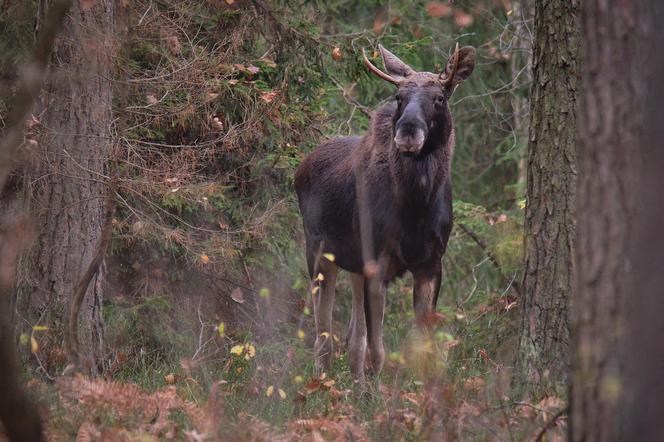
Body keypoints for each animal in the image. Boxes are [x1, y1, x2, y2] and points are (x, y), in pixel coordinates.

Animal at [294, 45, 474, 384]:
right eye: (399, 96)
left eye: (439, 98)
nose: (407, 132)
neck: (415, 206)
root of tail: (301, 167)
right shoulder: (376, 262)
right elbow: (376, 348)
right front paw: (373, 393)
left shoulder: (431, 263)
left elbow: (423, 347)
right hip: (319, 253)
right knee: (323, 335)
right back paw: (322, 384)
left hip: (352, 263)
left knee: (351, 338)